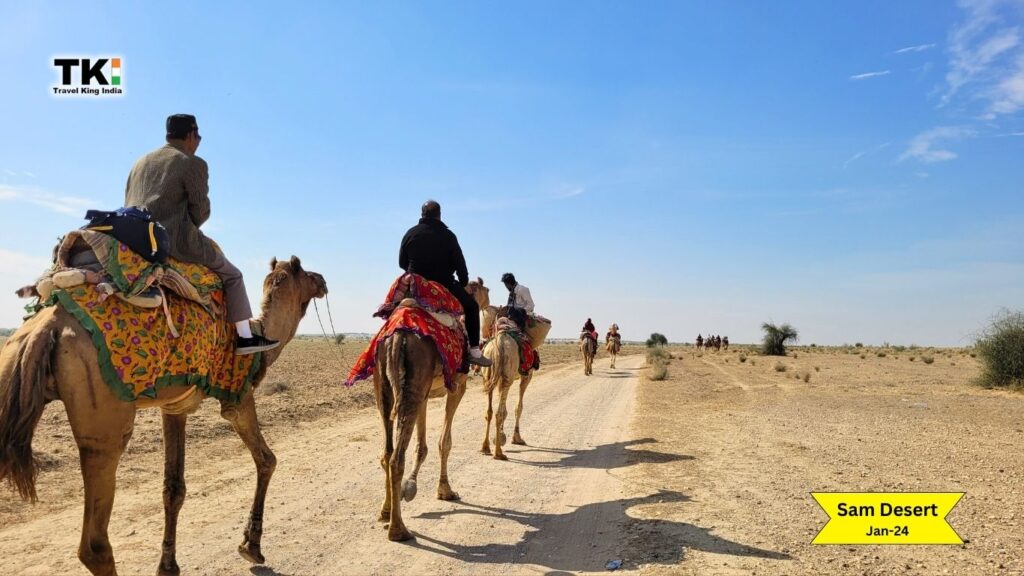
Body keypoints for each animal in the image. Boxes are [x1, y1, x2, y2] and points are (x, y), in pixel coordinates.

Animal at [0, 256, 325, 573]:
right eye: (306, 273)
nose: (323, 281)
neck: (262, 341)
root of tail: (45, 329)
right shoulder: (238, 397)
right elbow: (266, 459)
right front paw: (251, 546)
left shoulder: (175, 407)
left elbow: (173, 488)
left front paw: (168, 565)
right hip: (106, 426)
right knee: (95, 546)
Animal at [374, 276, 489, 541]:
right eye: (486, 290)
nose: (490, 305)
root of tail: (398, 337)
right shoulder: (457, 386)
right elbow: (444, 442)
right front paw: (445, 491)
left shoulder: (426, 394)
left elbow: (422, 445)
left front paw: (410, 487)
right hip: (413, 381)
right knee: (396, 458)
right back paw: (399, 530)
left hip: (387, 386)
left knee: (387, 452)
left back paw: (386, 512)